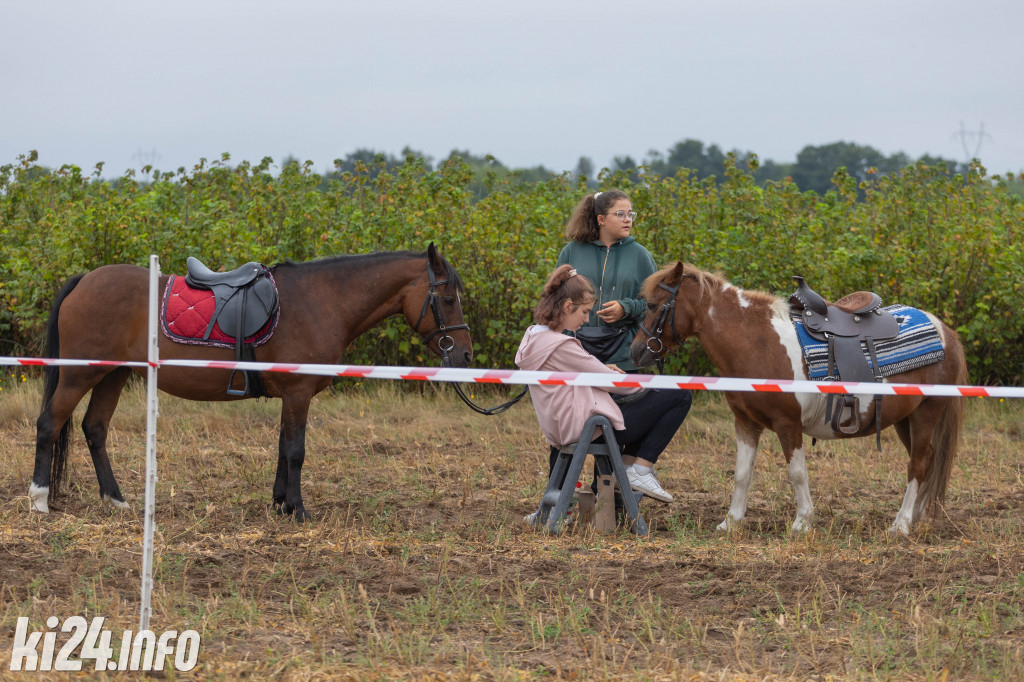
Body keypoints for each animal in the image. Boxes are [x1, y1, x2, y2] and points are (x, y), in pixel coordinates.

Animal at [29, 244, 471, 520]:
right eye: (448, 300)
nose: (465, 356)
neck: (321, 301)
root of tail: (85, 280)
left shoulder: (291, 395)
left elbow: (281, 447)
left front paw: (280, 504)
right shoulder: (298, 393)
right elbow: (295, 451)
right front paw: (298, 510)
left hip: (112, 374)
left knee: (94, 429)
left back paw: (115, 500)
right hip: (80, 373)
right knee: (50, 424)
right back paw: (39, 499)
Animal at [626, 262, 962, 532]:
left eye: (654, 305)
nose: (636, 351)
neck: (758, 342)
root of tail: (944, 330)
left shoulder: (788, 424)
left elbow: (797, 473)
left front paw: (802, 521)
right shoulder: (745, 423)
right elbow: (741, 474)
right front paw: (731, 522)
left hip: (925, 415)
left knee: (917, 464)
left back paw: (901, 524)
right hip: (905, 419)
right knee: (927, 459)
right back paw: (915, 516)